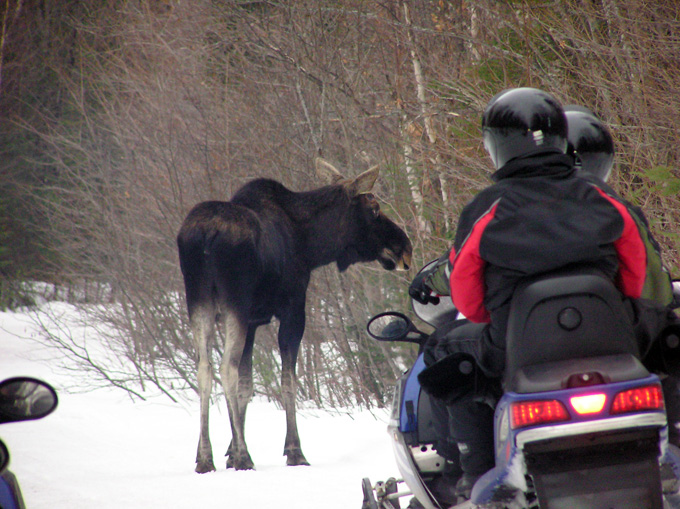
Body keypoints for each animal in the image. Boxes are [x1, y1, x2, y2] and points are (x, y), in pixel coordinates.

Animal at [178, 159, 412, 472]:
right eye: (374, 208)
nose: (405, 248)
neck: (311, 247)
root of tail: (204, 236)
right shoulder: (292, 310)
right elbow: (287, 380)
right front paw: (293, 450)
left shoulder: (253, 320)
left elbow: (247, 384)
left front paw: (228, 452)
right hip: (233, 302)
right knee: (226, 368)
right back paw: (244, 456)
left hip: (198, 300)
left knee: (204, 368)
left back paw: (205, 457)